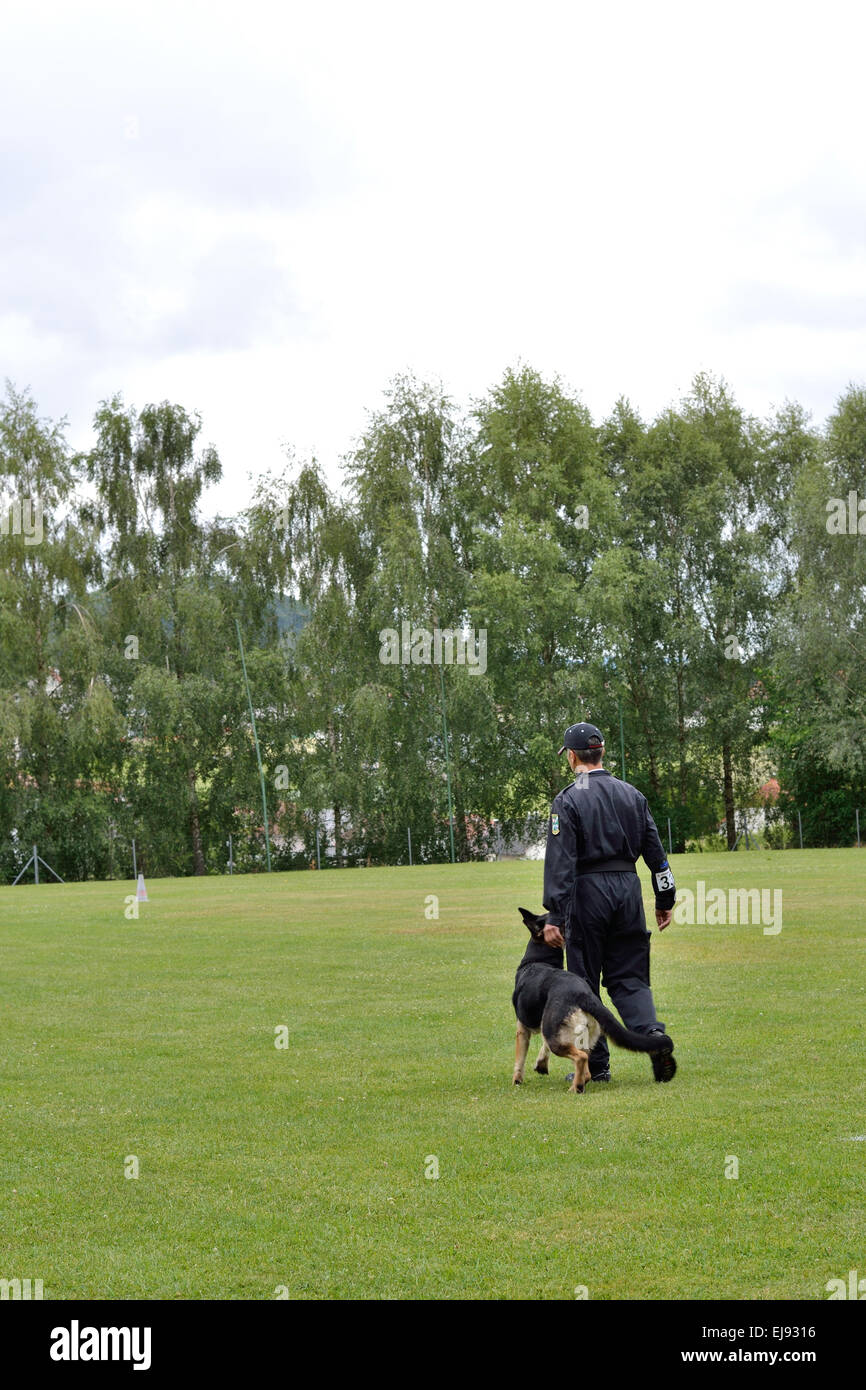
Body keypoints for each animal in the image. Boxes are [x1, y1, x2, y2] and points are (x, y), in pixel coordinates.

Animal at [511, 911, 675, 1095]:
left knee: (580, 1058)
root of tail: (584, 994)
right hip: (581, 1037)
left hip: (557, 1038)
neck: (538, 960)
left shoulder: (523, 1029)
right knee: (587, 1070)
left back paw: (575, 1088)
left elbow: (520, 1059)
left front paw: (517, 1080)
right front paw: (541, 1064)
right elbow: (543, 1047)